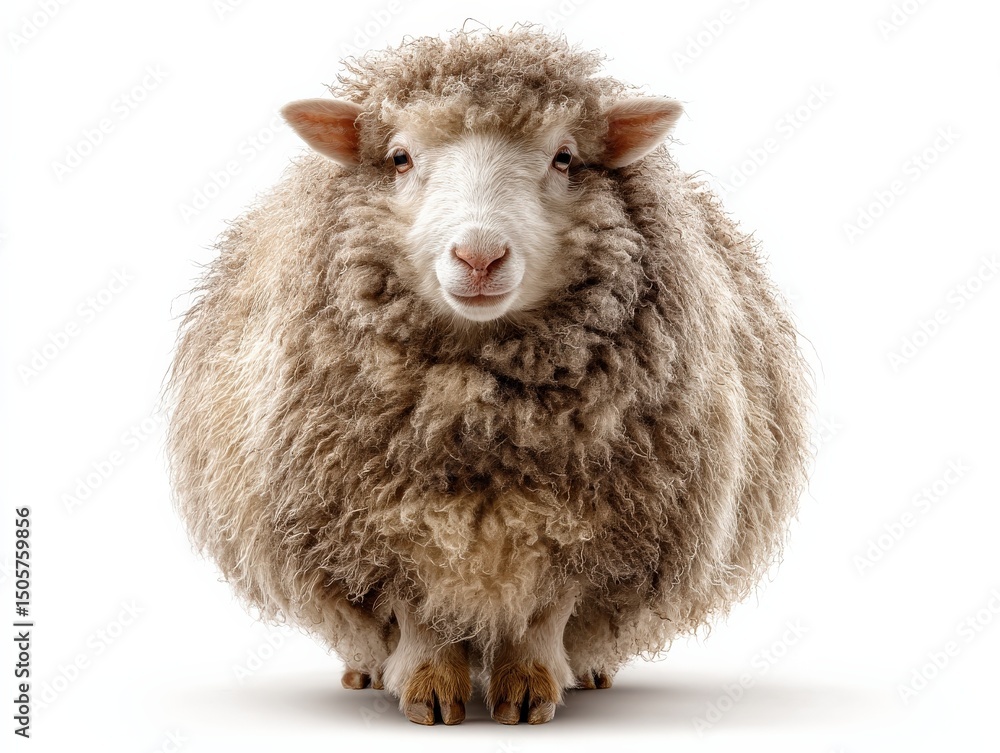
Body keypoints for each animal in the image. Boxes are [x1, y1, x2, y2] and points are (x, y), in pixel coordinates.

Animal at [167, 27, 811, 726]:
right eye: (399, 158)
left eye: (564, 157)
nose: (479, 257)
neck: (477, 422)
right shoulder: (381, 527)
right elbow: (419, 616)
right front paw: (429, 689)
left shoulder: (587, 532)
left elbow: (545, 615)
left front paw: (528, 688)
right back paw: (368, 669)